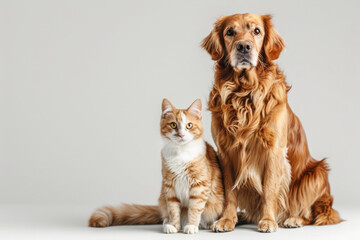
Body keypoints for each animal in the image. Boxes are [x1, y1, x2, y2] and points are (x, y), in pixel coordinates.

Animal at [88, 98, 224, 233]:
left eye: (189, 125)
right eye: (173, 125)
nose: (181, 135)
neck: (180, 153)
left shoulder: (200, 185)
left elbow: (194, 209)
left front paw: (191, 225)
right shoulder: (170, 187)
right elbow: (173, 210)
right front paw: (173, 225)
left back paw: (207, 223)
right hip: (162, 198)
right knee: (166, 214)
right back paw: (167, 222)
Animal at [201, 13, 342, 232]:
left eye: (257, 31)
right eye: (230, 32)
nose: (244, 47)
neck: (244, 93)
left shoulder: (274, 151)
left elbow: (269, 190)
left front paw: (267, 220)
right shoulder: (225, 153)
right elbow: (230, 192)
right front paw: (226, 219)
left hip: (316, 174)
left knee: (313, 213)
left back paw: (293, 218)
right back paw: (243, 216)